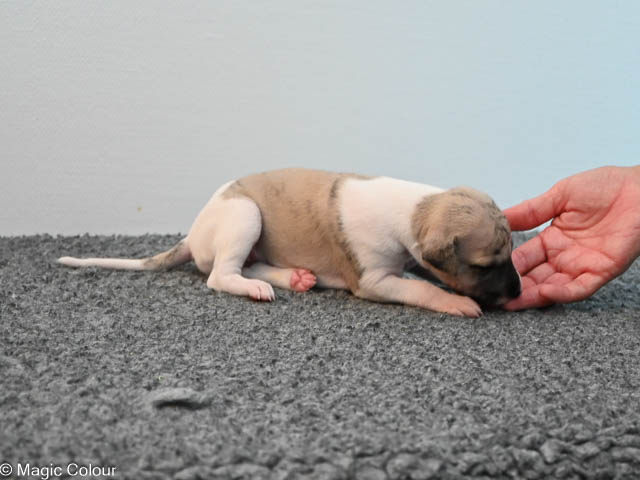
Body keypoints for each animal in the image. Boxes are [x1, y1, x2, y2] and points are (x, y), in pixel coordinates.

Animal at [58, 168, 521, 317]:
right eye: (485, 264)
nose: (518, 292)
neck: (411, 207)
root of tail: (193, 234)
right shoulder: (372, 280)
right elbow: (419, 287)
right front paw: (456, 302)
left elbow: (421, 276)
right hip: (245, 215)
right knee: (221, 275)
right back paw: (256, 287)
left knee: (248, 264)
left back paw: (294, 277)